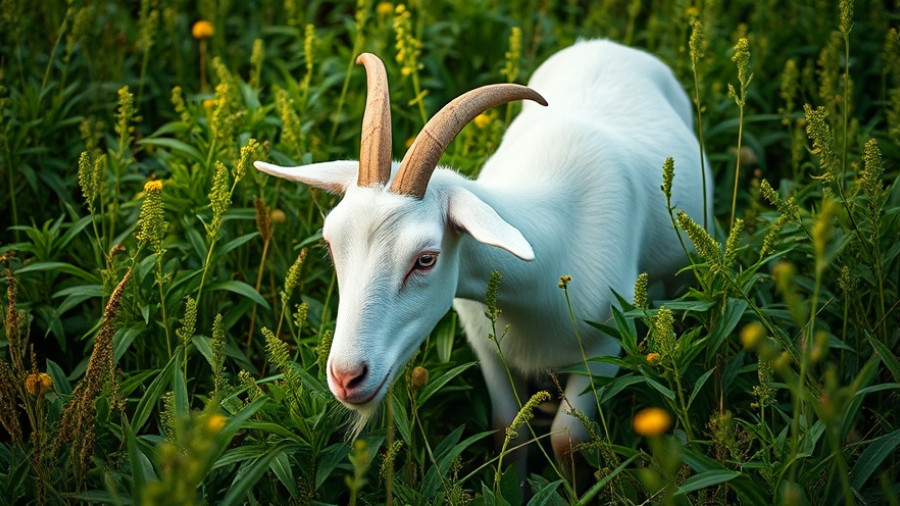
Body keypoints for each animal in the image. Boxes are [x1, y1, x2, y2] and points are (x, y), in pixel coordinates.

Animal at [254, 39, 711, 476]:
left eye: (426, 259)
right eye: (332, 243)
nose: (347, 377)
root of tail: (605, 45)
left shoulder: (604, 346)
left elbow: (566, 437)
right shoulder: (489, 347)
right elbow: (509, 427)